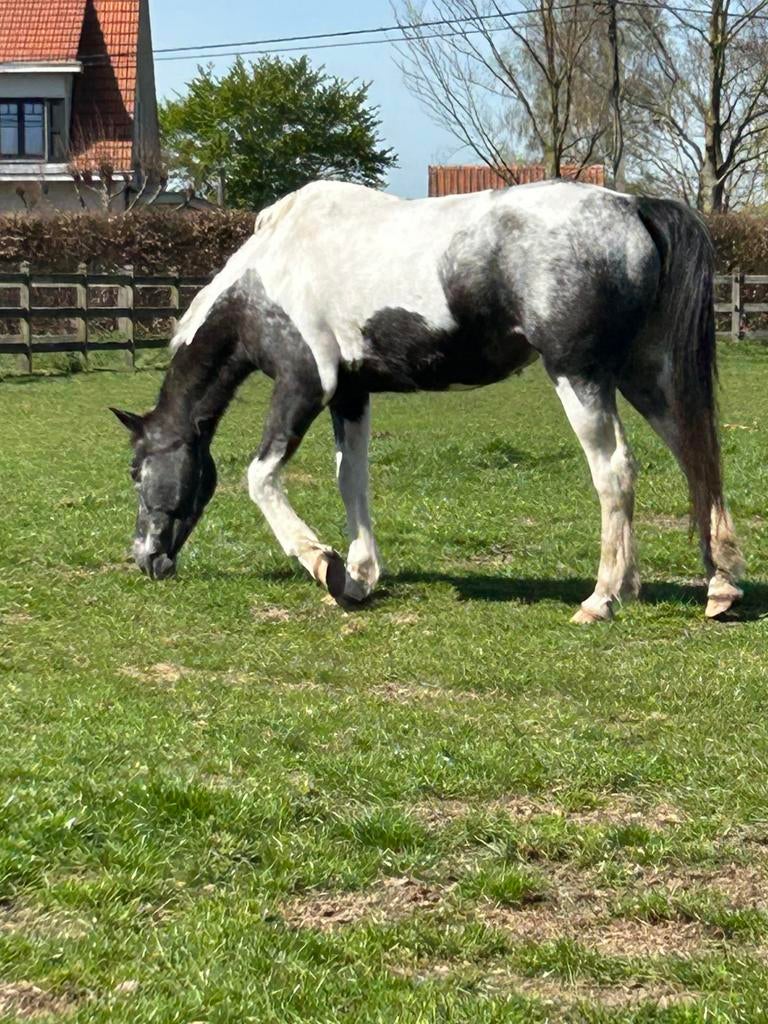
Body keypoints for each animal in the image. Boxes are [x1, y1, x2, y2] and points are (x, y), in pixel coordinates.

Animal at [111, 179, 744, 622]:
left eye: (138, 471)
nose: (145, 558)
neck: (266, 280)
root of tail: (632, 205)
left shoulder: (304, 385)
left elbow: (261, 478)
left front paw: (326, 567)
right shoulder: (351, 395)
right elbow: (351, 479)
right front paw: (361, 576)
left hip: (581, 376)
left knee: (614, 471)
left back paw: (604, 597)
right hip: (644, 376)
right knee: (696, 456)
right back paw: (717, 586)